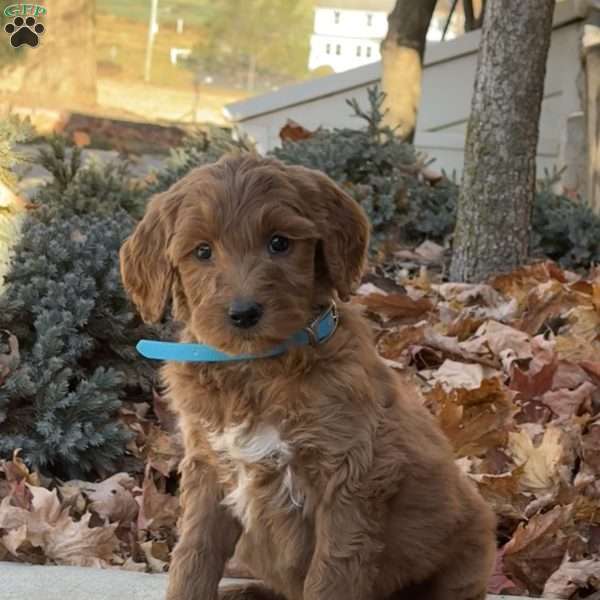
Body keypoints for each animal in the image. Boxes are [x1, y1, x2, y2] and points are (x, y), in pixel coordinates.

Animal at [118, 155, 496, 600]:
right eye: (203, 251)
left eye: (279, 243)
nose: (244, 314)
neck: (255, 369)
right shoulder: (208, 469)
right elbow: (194, 554)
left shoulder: (351, 478)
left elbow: (331, 573)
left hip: (467, 549)